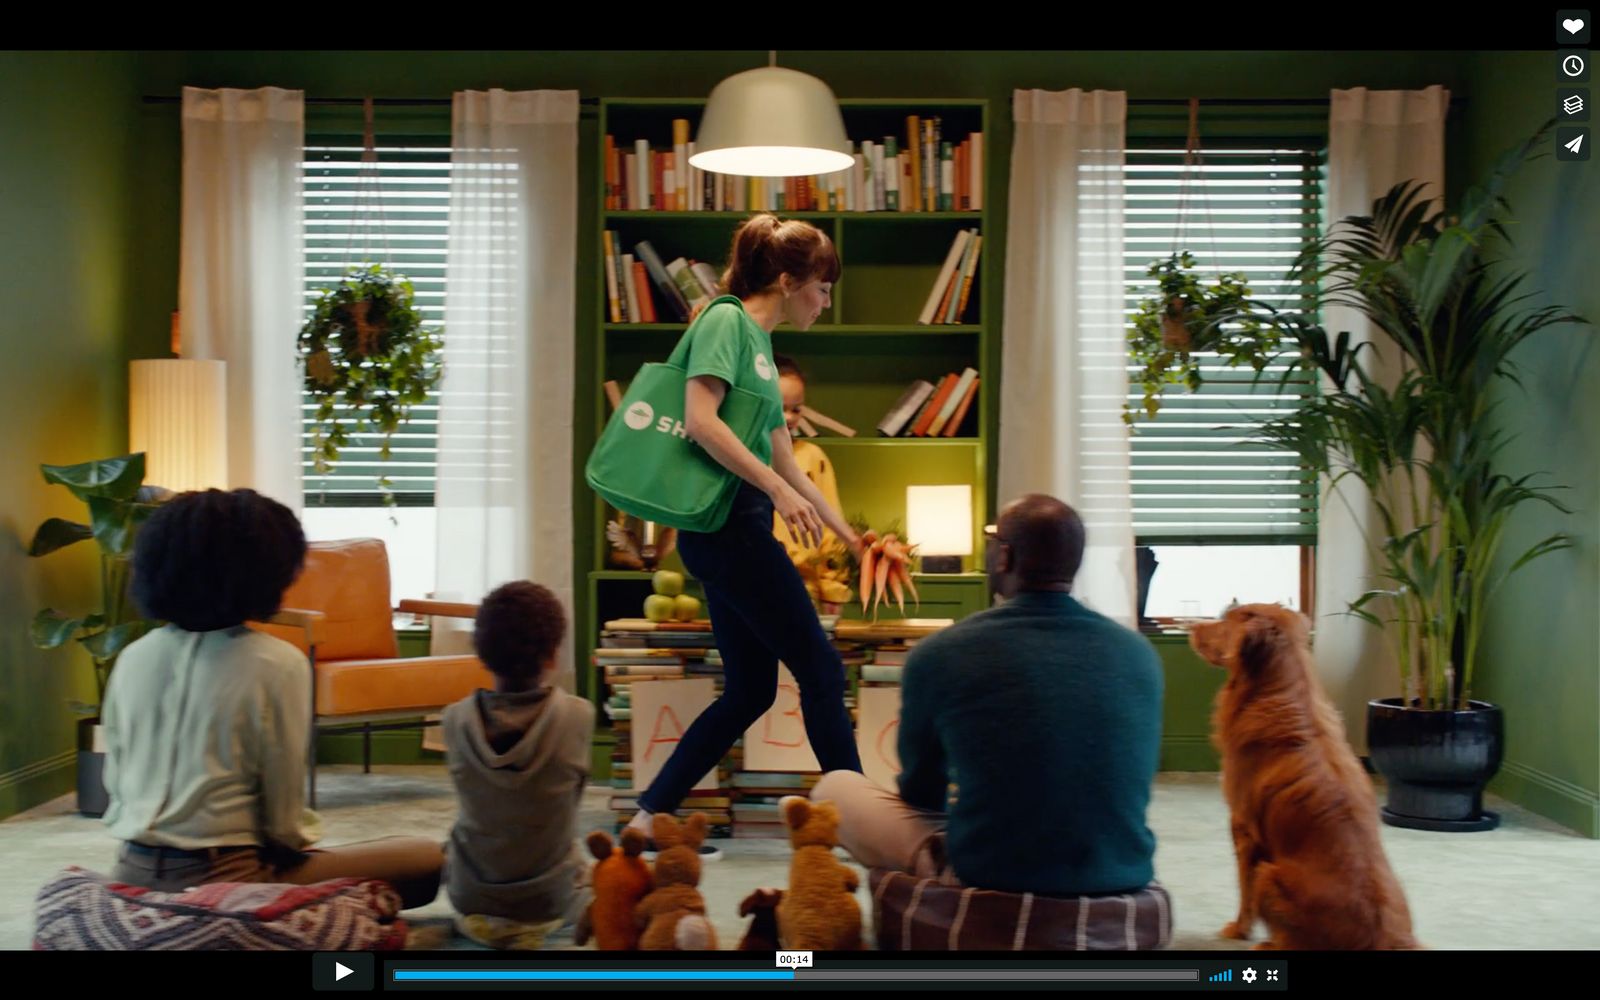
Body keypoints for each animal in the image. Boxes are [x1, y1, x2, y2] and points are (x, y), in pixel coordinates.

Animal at [1190, 604, 1414, 947]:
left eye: (1226, 619)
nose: (1189, 626)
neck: (1278, 690)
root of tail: (1380, 939)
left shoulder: (1242, 827)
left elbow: (1244, 889)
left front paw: (1239, 930)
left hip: (1270, 872)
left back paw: (1267, 943)